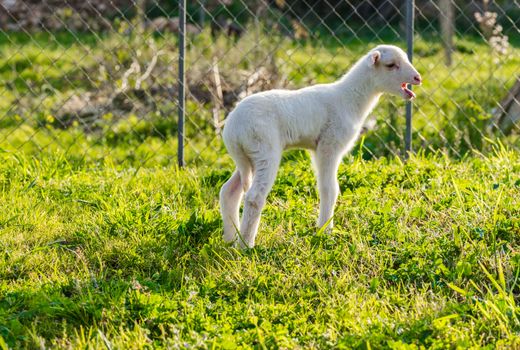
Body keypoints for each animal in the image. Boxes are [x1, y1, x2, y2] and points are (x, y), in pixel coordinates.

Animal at [217, 45, 420, 249]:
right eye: (391, 65)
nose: (418, 78)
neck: (350, 98)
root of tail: (232, 129)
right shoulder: (329, 145)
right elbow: (329, 188)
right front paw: (325, 231)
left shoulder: (317, 148)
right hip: (264, 148)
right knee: (254, 197)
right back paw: (245, 245)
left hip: (249, 156)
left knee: (229, 191)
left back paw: (230, 238)